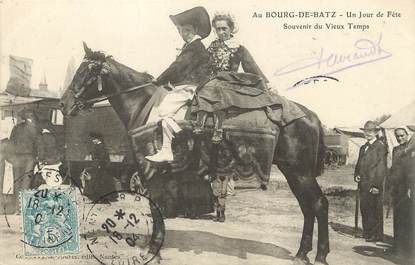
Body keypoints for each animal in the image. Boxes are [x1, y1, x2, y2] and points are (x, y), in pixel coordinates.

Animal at [59, 43, 332, 264]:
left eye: (84, 73)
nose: (63, 104)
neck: (144, 105)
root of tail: (311, 116)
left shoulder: (149, 171)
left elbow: (155, 207)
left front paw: (154, 250)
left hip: (299, 171)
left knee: (318, 204)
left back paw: (318, 255)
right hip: (293, 171)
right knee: (308, 206)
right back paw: (303, 253)